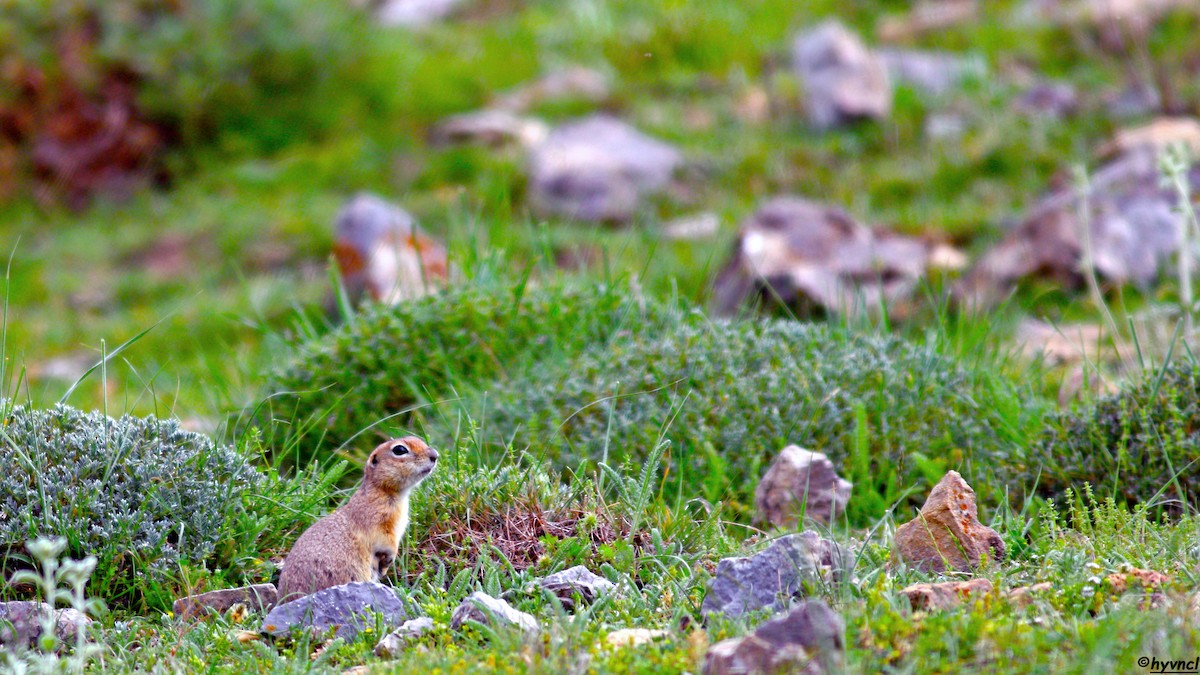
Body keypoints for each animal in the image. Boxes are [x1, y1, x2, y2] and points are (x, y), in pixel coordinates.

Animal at [276, 436, 438, 603]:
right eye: (399, 450)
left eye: (419, 439)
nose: (435, 455)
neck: (385, 491)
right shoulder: (376, 519)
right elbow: (385, 540)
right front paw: (390, 558)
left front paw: (384, 568)